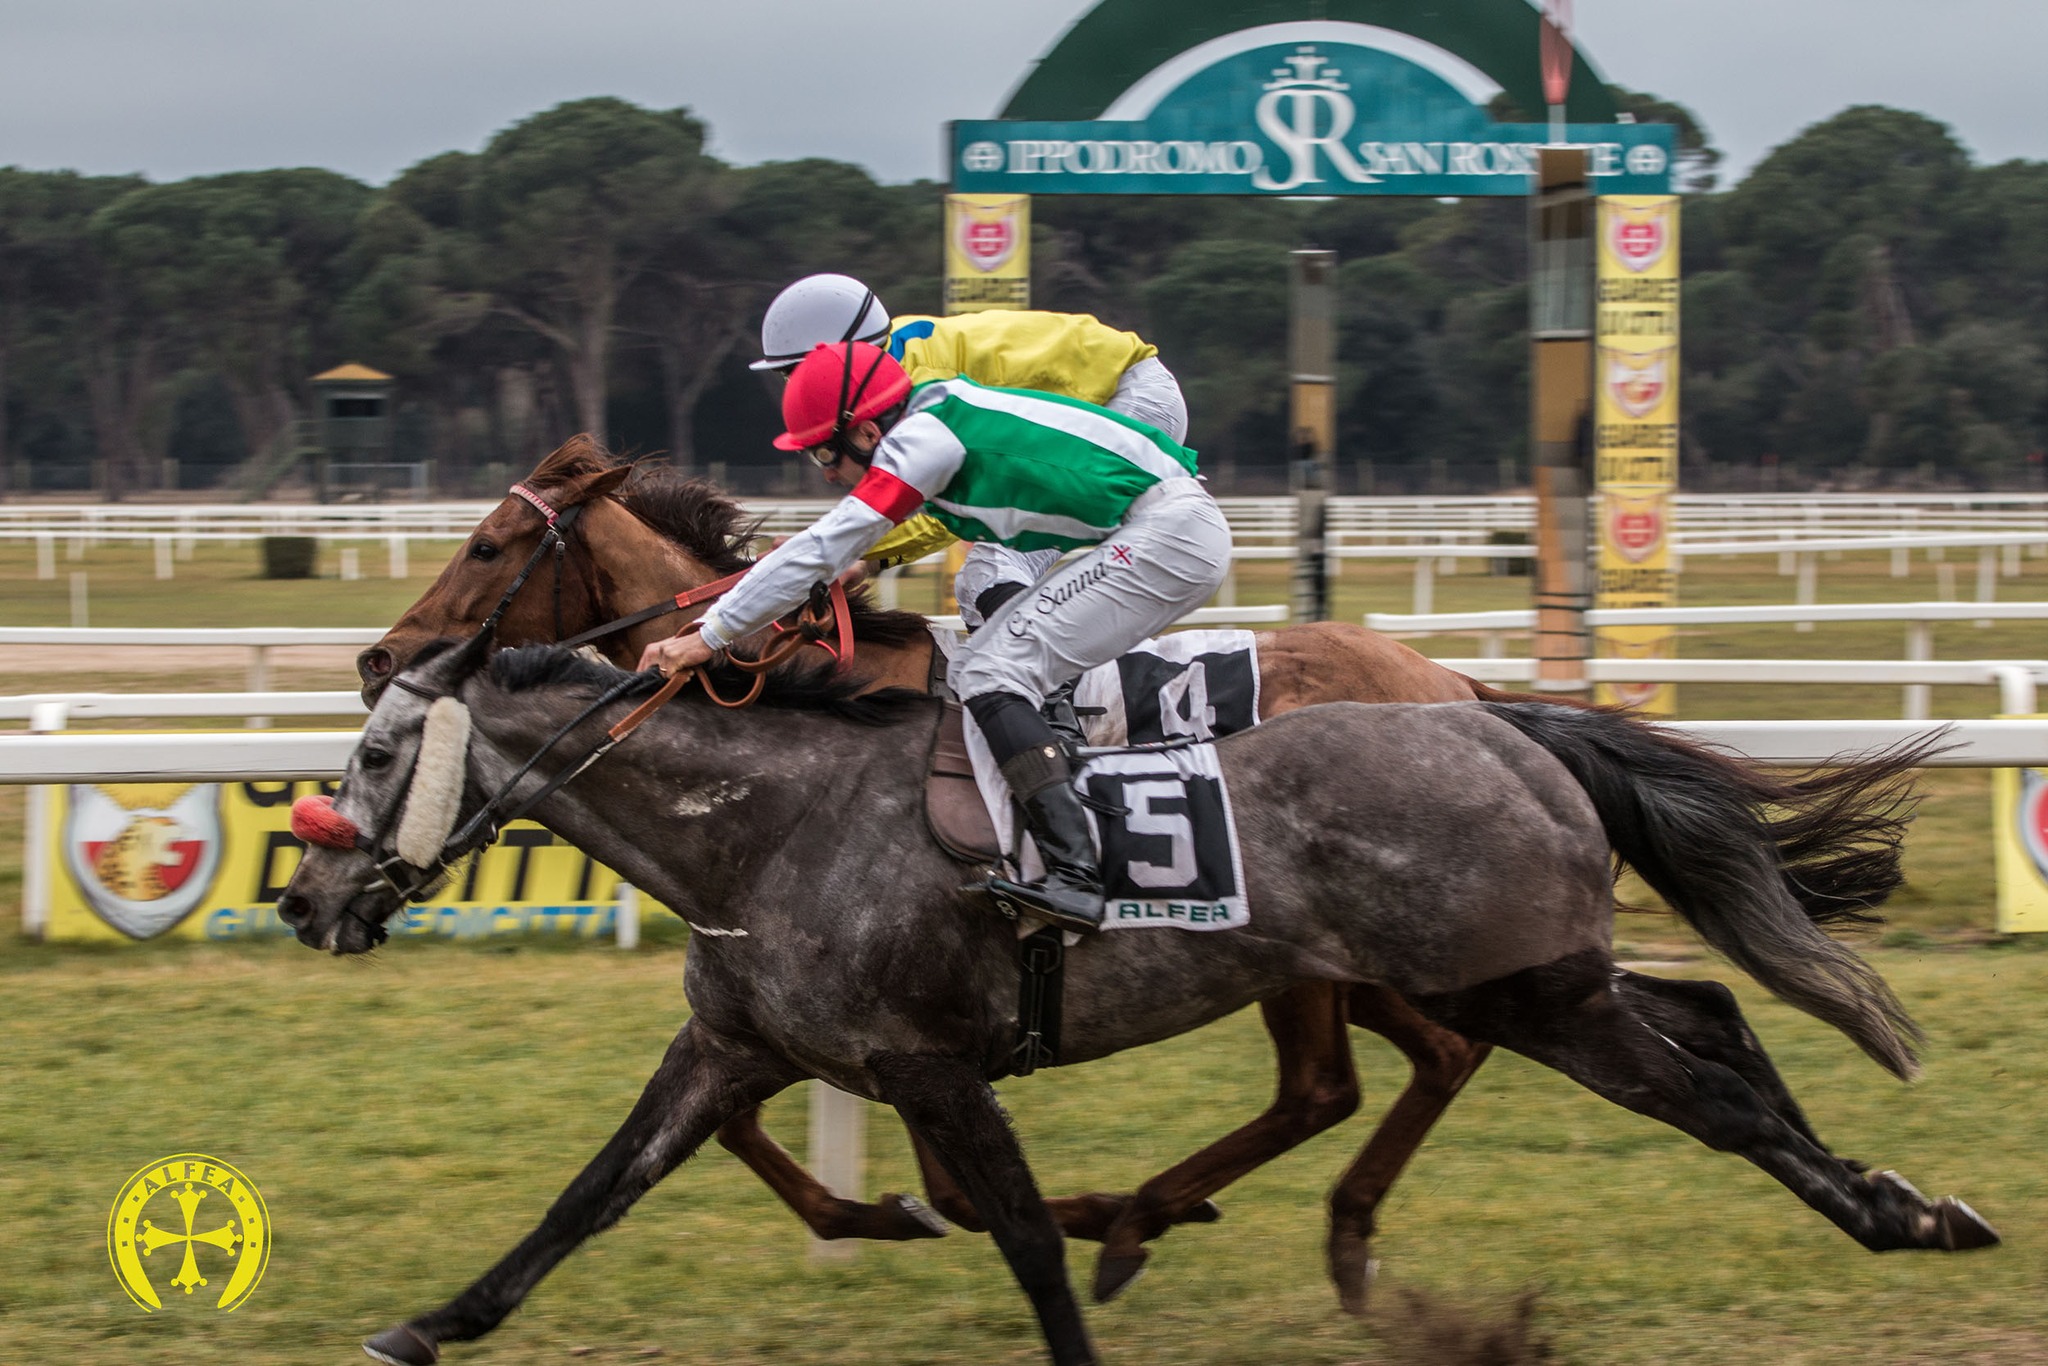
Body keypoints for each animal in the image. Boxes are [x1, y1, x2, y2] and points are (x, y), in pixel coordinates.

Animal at [280, 643, 1990, 1366]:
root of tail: (1506, 721)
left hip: (1520, 987)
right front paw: (428, 1323)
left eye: (373, 753)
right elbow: (586, 1195)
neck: (767, 825)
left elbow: (1021, 1232)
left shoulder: (930, 1064)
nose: (304, 896)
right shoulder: (733, 1045)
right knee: (1716, 1026)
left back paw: (1903, 1213)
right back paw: (1900, 1198)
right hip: (1532, 977)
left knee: (1707, 1091)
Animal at [364, 440, 1523, 1310]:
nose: (381, 659)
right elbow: (740, 1122)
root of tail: (1447, 677)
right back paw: (1334, 1231)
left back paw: (1157, 1219)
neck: (799, 690)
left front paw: (1043, 1215)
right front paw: (870, 1214)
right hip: (1353, 959)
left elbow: (949, 1183)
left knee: (1329, 1084)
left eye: (488, 545)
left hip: (1307, 954)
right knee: (1441, 1051)